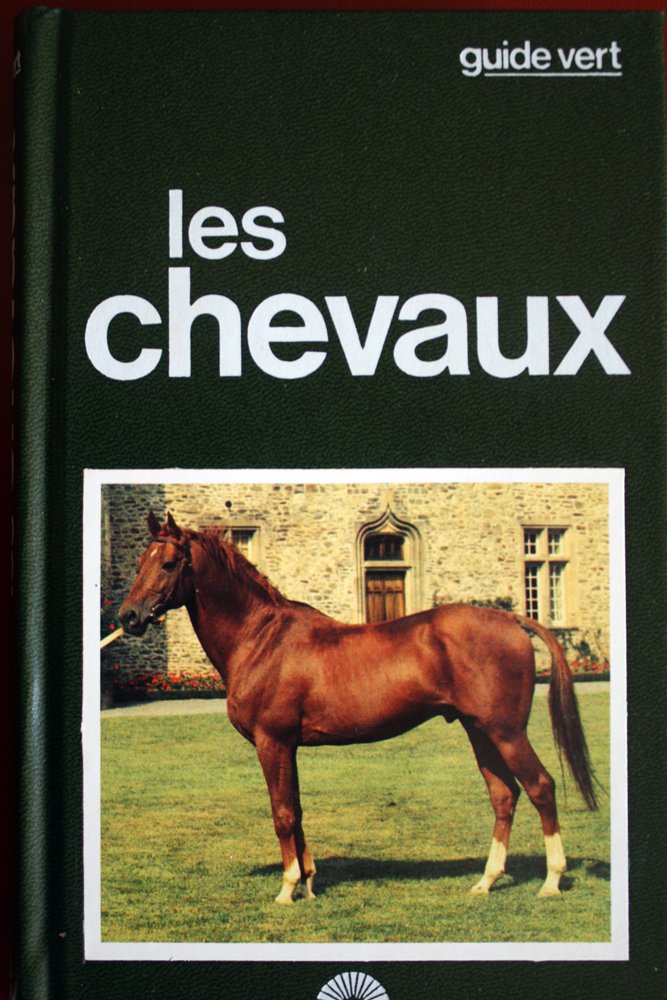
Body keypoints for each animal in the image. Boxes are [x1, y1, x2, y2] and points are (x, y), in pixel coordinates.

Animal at [119, 511, 598, 905]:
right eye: (140, 561)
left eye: (168, 563)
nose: (128, 617)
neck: (261, 638)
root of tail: (513, 618)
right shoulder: (288, 747)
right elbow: (297, 810)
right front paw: (309, 882)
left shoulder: (272, 742)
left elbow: (282, 813)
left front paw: (288, 888)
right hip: (479, 731)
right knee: (504, 795)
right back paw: (486, 881)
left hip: (507, 732)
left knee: (541, 787)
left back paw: (552, 881)